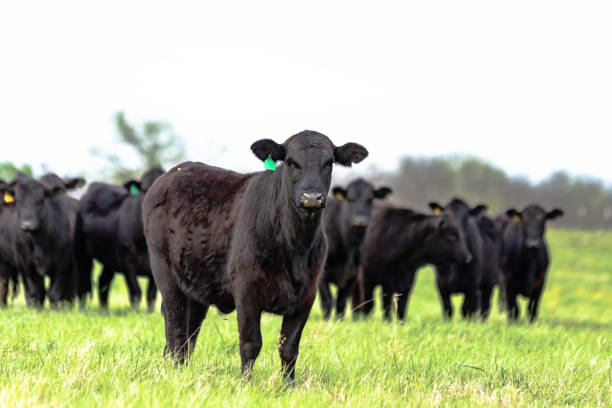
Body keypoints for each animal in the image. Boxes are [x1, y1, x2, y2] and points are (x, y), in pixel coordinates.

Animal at [7, 173, 84, 310]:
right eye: (18, 201)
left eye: (40, 201)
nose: (27, 224)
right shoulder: (24, 264)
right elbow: (35, 292)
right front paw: (35, 310)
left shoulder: (62, 264)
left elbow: (54, 292)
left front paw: (56, 310)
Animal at [74, 166, 165, 310]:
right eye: (144, 190)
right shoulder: (127, 262)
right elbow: (136, 292)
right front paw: (135, 312)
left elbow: (151, 295)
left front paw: (149, 312)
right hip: (81, 252)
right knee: (83, 284)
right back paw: (83, 309)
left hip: (109, 260)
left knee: (103, 282)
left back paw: (104, 310)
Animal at [142, 131, 368, 382]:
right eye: (291, 162)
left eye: (329, 163)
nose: (311, 198)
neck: (294, 246)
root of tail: (172, 174)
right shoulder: (246, 290)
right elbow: (251, 343)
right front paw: (246, 383)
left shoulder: (306, 296)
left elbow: (289, 347)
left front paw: (288, 385)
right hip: (164, 271)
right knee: (175, 326)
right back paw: (174, 371)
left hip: (196, 285)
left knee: (189, 331)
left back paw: (180, 368)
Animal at [320, 180, 392, 320]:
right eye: (350, 199)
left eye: (370, 200)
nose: (360, 221)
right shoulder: (321, 273)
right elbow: (327, 301)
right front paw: (326, 321)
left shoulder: (354, 274)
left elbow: (341, 302)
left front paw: (338, 321)